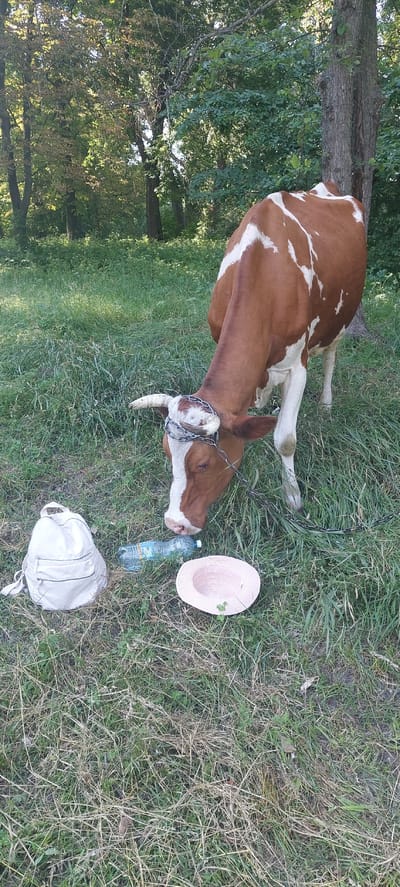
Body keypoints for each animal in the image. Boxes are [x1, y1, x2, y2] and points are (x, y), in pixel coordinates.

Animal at [130, 182, 367, 535]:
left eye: (203, 463)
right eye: (166, 452)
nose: (175, 523)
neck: (266, 274)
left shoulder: (297, 366)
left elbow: (285, 438)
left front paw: (292, 497)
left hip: (340, 318)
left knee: (330, 356)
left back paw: (325, 403)